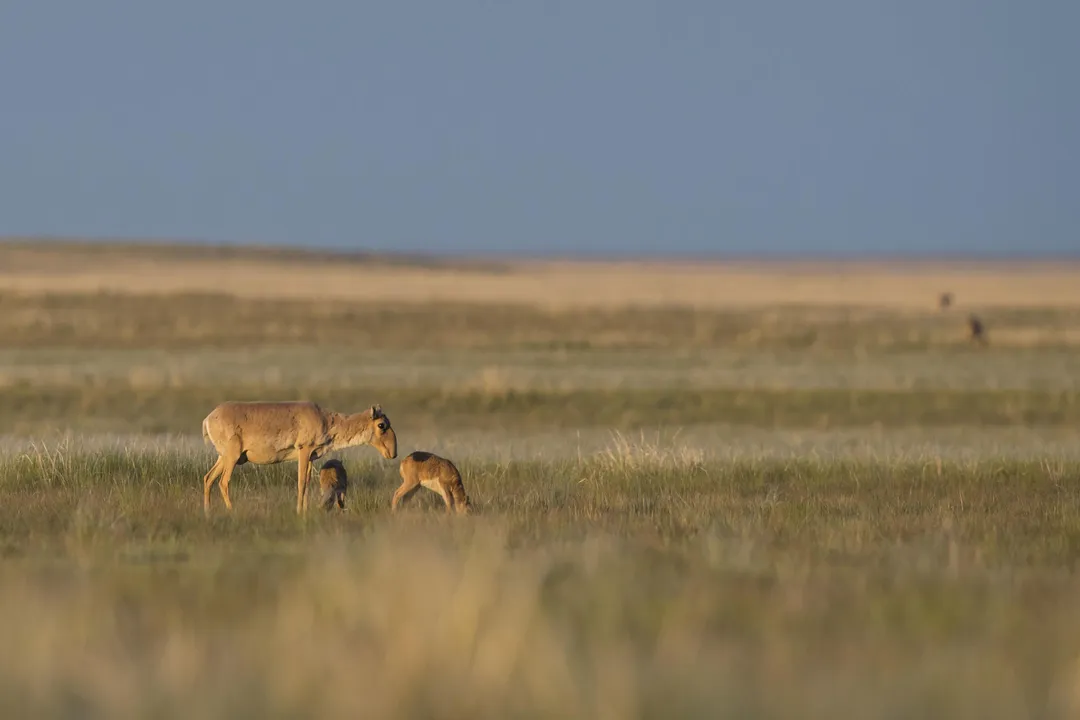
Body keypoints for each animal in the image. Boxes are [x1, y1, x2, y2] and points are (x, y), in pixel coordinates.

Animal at [201, 401, 397, 515]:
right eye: (382, 425)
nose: (393, 453)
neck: (326, 420)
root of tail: (208, 418)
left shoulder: (311, 457)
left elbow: (308, 482)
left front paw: (305, 509)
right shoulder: (304, 450)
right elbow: (301, 482)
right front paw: (299, 511)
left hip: (224, 458)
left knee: (208, 478)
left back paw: (208, 512)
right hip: (232, 457)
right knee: (223, 481)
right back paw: (231, 510)